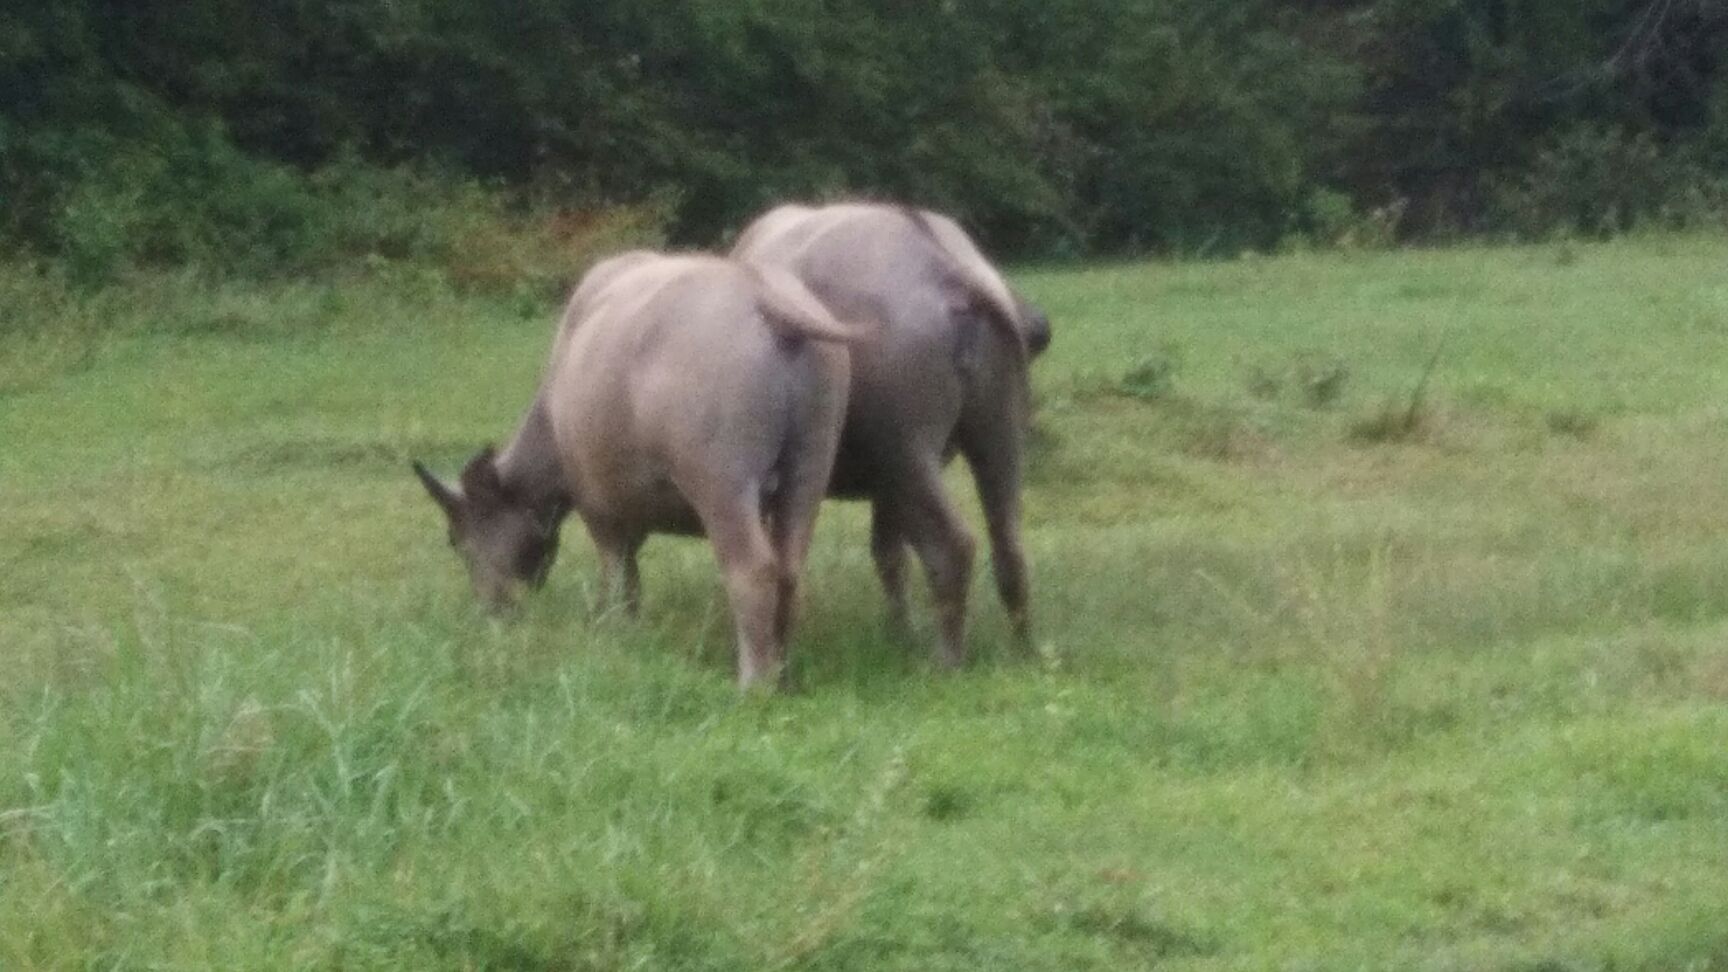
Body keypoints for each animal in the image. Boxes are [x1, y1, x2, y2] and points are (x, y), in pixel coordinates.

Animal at [406, 249, 864, 688]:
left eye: (456, 539)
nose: (492, 610)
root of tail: (764, 297)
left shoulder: (597, 503)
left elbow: (618, 570)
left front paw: (615, 629)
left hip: (722, 484)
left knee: (752, 569)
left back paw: (755, 681)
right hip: (808, 470)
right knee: (790, 568)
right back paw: (783, 671)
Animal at [732, 200, 1050, 660]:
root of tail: (954, 277)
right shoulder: (885, 487)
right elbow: (889, 554)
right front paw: (900, 634)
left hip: (908, 451)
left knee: (951, 545)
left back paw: (946, 658)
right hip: (997, 435)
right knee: (1008, 545)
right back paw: (1023, 648)